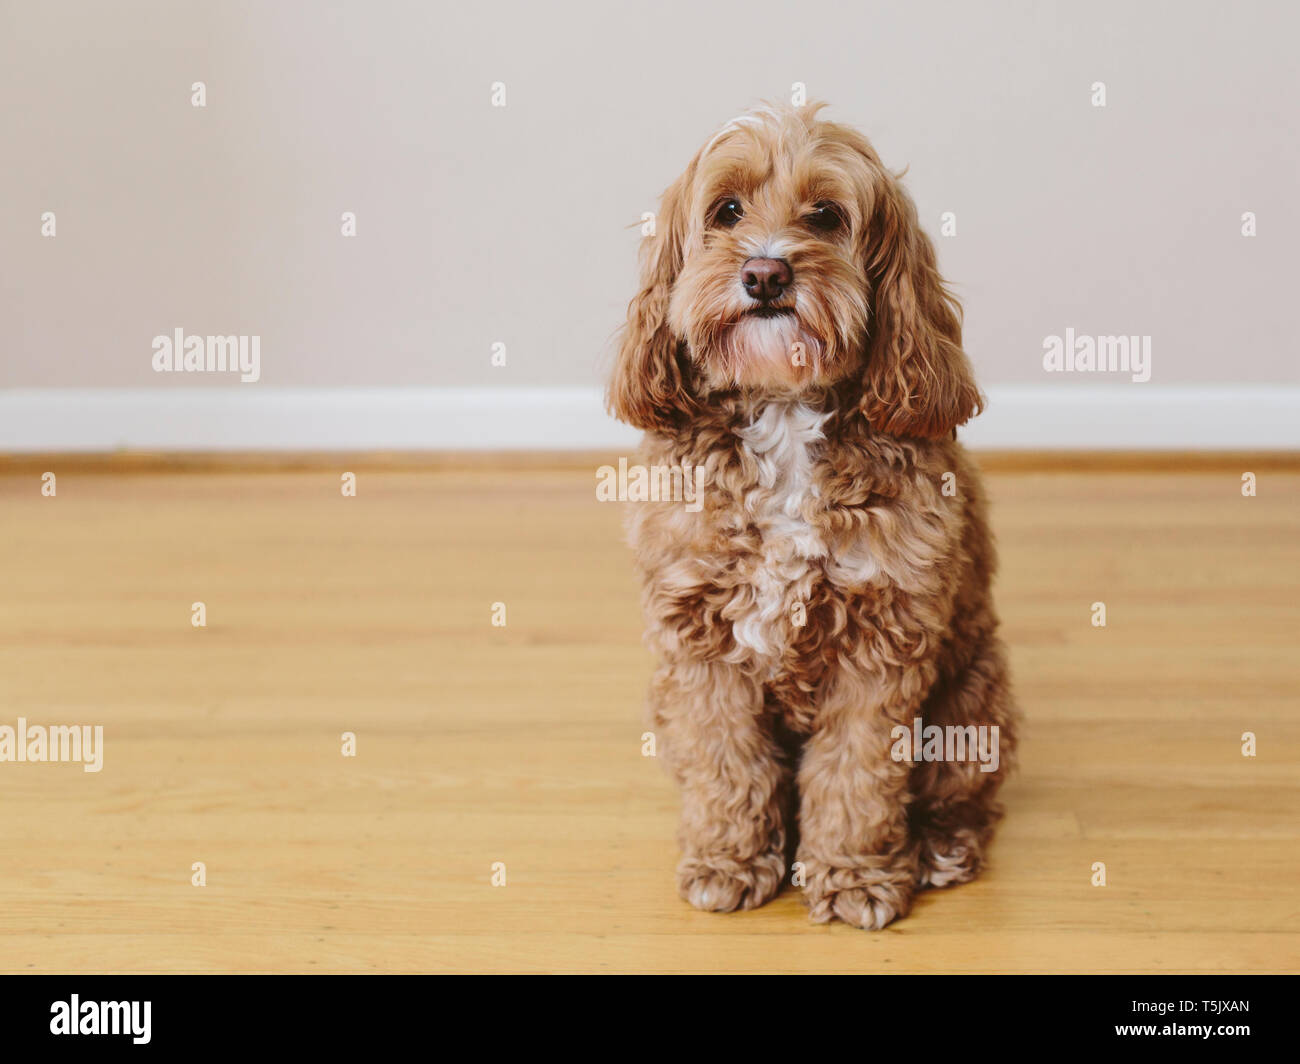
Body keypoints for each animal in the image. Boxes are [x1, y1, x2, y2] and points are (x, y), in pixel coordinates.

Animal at [613, 101, 1019, 926]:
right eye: (726, 211)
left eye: (827, 216)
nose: (765, 273)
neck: (785, 411)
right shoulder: (699, 640)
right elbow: (726, 762)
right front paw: (729, 859)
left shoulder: (882, 640)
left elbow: (857, 773)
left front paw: (855, 873)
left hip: (975, 700)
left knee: (964, 796)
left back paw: (940, 846)